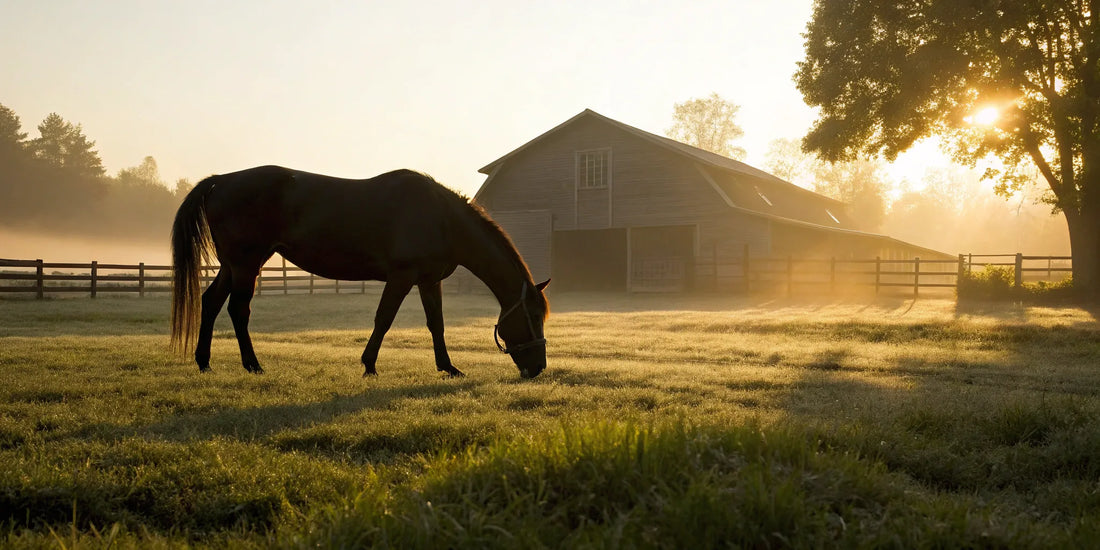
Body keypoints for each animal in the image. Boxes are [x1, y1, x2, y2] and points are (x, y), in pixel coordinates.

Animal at [170, 165, 550, 379]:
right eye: (533, 315)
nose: (538, 368)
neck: (441, 218)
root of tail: (221, 181)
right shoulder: (401, 276)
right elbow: (384, 319)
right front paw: (369, 365)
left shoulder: (428, 281)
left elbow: (436, 325)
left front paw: (448, 367)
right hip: (247, 264)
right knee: (238, 309)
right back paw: (253, 365)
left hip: (235, 265)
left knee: (212, 302)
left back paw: (204, 362)